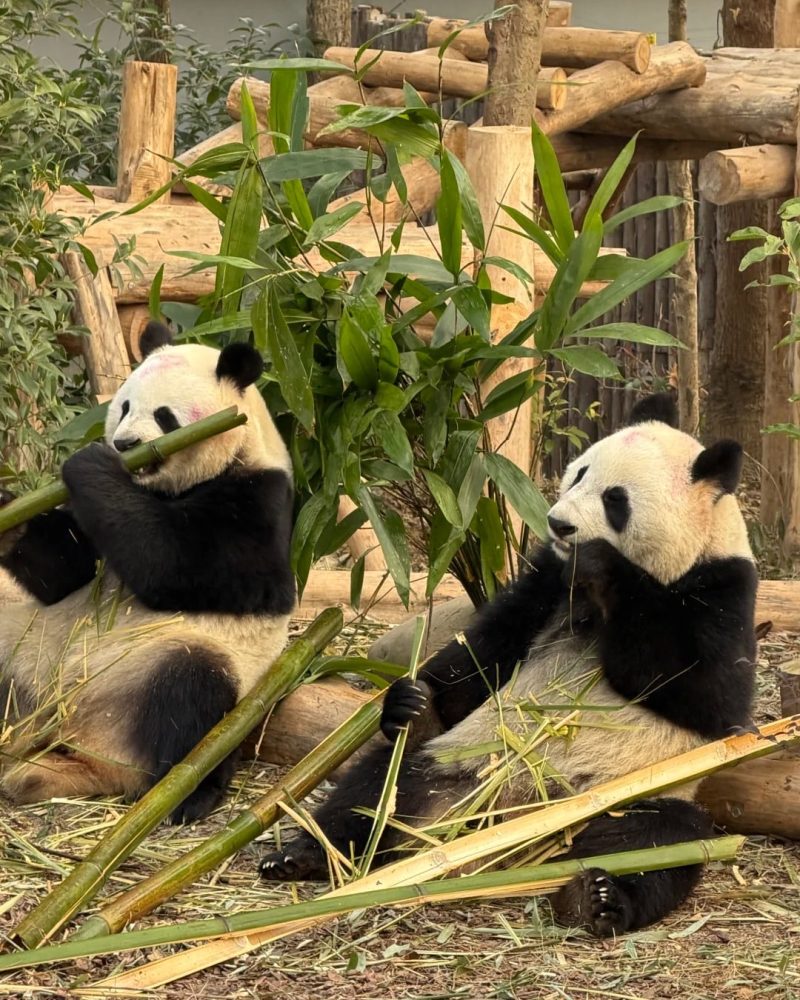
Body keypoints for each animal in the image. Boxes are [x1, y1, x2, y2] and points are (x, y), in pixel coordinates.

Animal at [0, 322, 295, 823]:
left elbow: (179, 565)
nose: (124, 445)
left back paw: (187, 797)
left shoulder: (258, 500)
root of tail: (77, 738)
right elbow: (64, 575)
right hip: (24, 658)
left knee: (191, 692)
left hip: (159, 669)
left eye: (165, 416)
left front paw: (91, 465)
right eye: (123, 407)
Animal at [259, 393, 758, 936]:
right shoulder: (546, 579)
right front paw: (412, 699)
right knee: (376, 786)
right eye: (579, 474)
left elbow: (708, 694)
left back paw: (598, 898)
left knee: (658, 841)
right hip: (456, 762)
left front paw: (603, 563)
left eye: (616, 499)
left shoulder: (723, 589)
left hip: (631, 794)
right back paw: (313, 844)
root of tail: (509, 825)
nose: (559, 524)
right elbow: (487, 650)